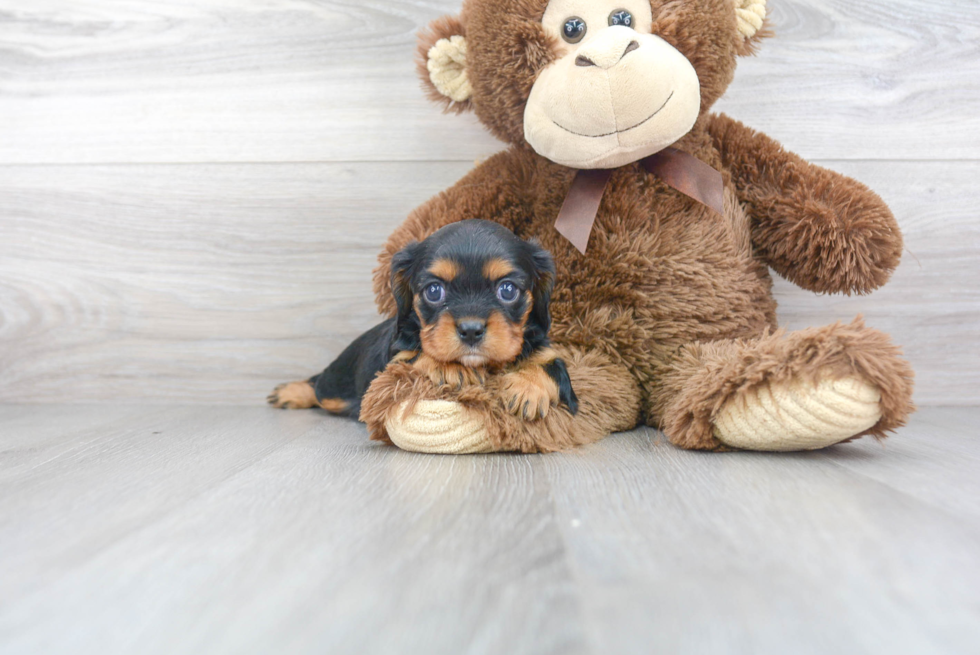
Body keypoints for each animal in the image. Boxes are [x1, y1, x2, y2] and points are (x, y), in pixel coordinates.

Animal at [264, 222, 580, 420]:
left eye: (508, 290)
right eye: (434, 291)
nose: (471, 330)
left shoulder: (547, 351)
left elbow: (554, 366)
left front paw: (529, 387)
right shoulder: (390, 363)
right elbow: (413, 355)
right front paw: (451, 367)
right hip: (339, 384)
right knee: (320, 386)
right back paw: (291, 392)